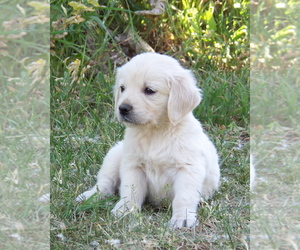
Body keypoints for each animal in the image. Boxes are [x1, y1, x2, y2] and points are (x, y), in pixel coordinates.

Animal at [76, 52, 219, 229]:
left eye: (149, 90)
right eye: (122, 88)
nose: (123, 108)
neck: (155, 133)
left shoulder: (188, 168)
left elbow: (183, 197)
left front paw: (183, 217)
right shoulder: (133, 165)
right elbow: (131, 190)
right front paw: (125, 210)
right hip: (115, 154)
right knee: (105, 183)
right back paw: (88, 197)